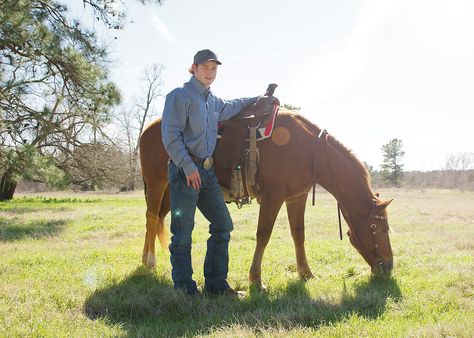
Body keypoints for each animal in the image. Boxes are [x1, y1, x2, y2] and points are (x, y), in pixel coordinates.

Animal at [140, 107, 392, 290]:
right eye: (381, 228)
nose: (389, 267)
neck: (309, 149)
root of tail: (147, 129)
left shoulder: (296, 197)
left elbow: (298, 234)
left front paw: (306, 273)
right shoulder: (273, 196)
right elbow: (263, 235)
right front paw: (256, 279)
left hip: (171, 190)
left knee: (154, 219)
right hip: (156, 184)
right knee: (151, 218)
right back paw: (149, 262)